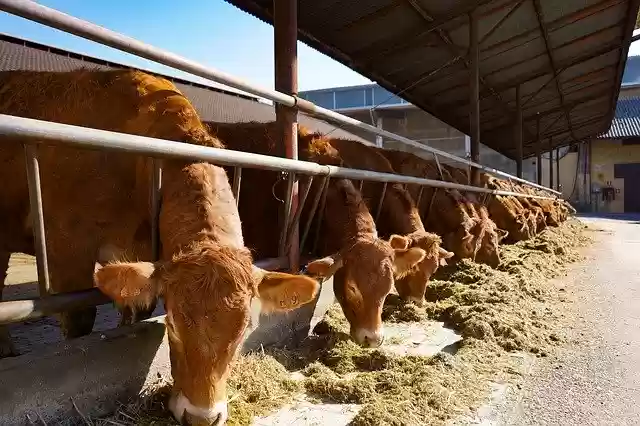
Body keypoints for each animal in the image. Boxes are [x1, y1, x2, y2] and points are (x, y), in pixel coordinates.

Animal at [0, 70, 321, 425]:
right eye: (173, 325)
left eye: (244, 332)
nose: (202, 417)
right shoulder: (66, 247)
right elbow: (79, 319)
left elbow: (135, 311)